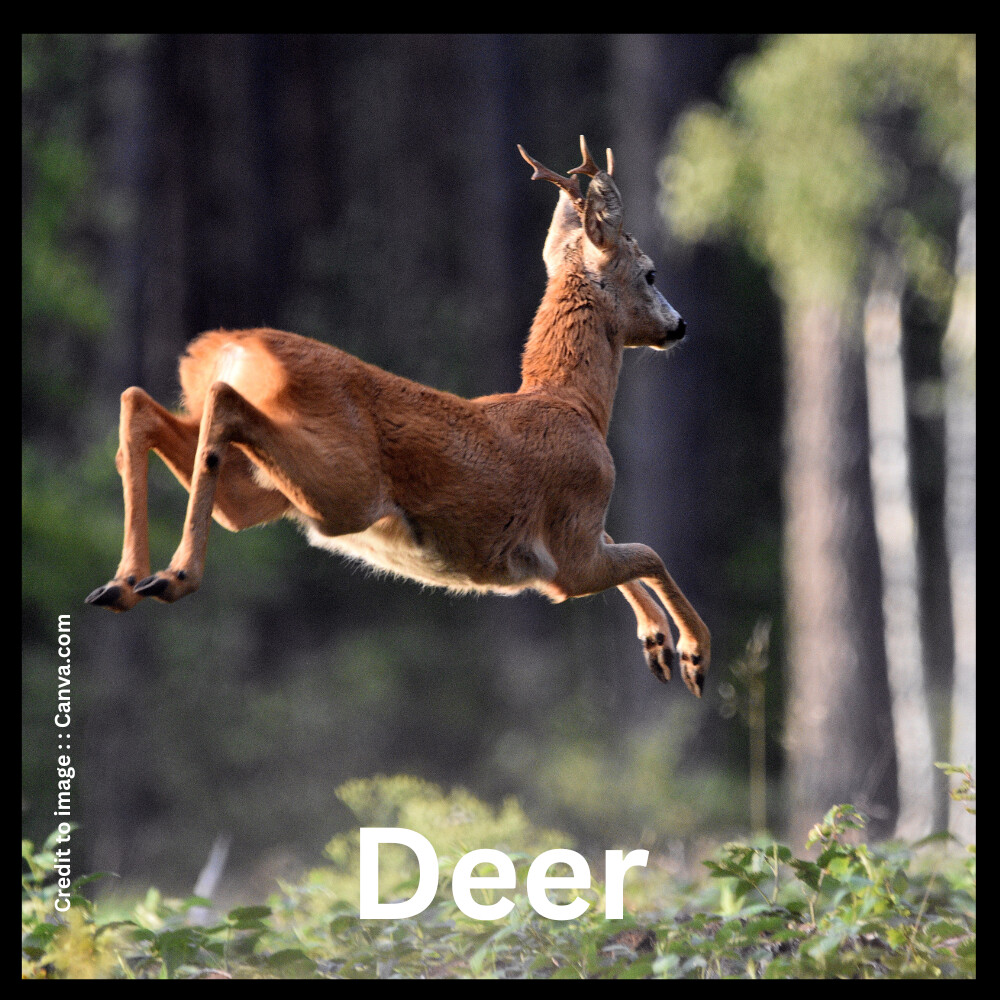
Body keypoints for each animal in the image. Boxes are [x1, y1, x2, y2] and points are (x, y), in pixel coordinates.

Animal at [86, 135, 711, 696]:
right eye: (651, 273)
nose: (680, 325)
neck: (574, 404)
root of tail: (231, 347)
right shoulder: (569, 551)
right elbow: (650, 552)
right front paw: (690, 655)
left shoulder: (580, 541)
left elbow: (633, 549)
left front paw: (656, 642)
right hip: (344, 485)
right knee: (218, 401)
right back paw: (173, 575)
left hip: (268, 492)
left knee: (141, 404)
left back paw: (123, 583)